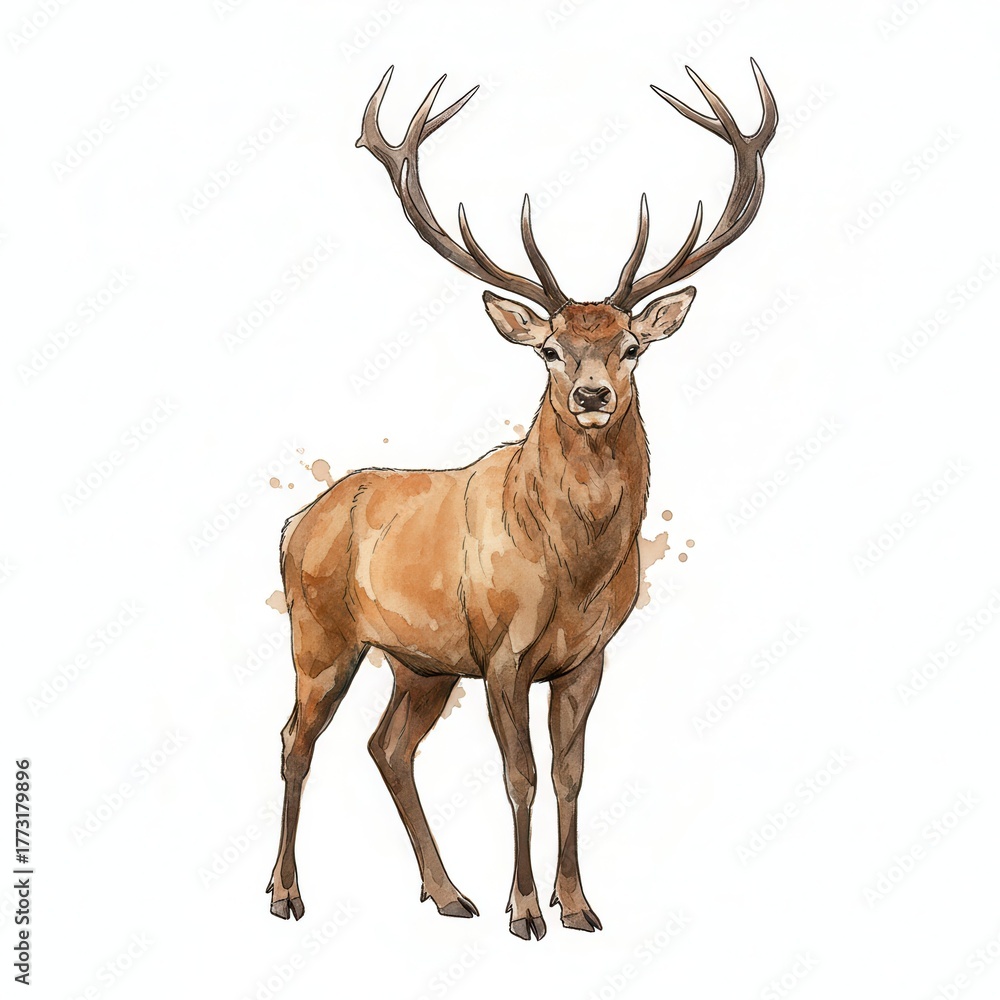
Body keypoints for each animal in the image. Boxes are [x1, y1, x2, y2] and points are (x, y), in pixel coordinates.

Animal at [267, 62, 777, 940]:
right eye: (549, 350)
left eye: (631, 346)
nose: (593, 396)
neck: (573, 568)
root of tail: (297, 520)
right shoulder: (502, 652)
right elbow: (521, 777)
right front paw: (526, 908)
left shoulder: (586, 658)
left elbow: (571, 775)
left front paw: (579, 905)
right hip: (319, 633)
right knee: (296, 740)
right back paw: (286, 893)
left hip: (422, 662)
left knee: (387, 747)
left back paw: (447, 892)